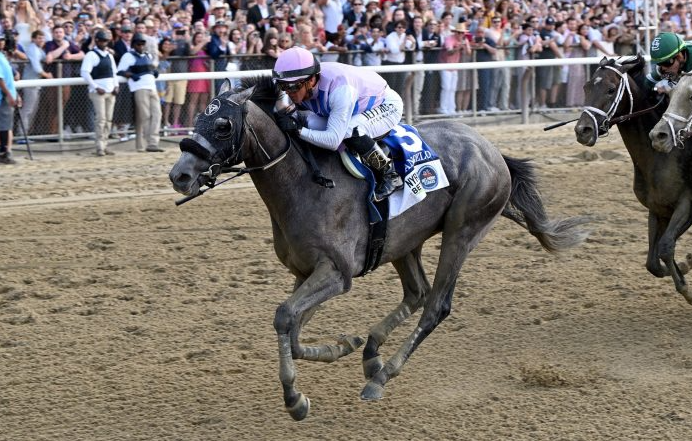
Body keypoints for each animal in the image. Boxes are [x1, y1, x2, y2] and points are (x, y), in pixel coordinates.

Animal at [169, 76, 588, 420]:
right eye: (198, 119)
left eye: (222, 125)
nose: (179, 175)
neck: (305, 183)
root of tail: (494, 152)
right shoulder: (306, 272)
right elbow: (293, 328)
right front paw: (343, 346)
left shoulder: (336, 273)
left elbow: (285, 316)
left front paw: (294, 399)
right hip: (404, 241)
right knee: (417, 293)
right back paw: (371, 353)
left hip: (463, 230)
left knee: (435, 306)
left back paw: (381, 376)